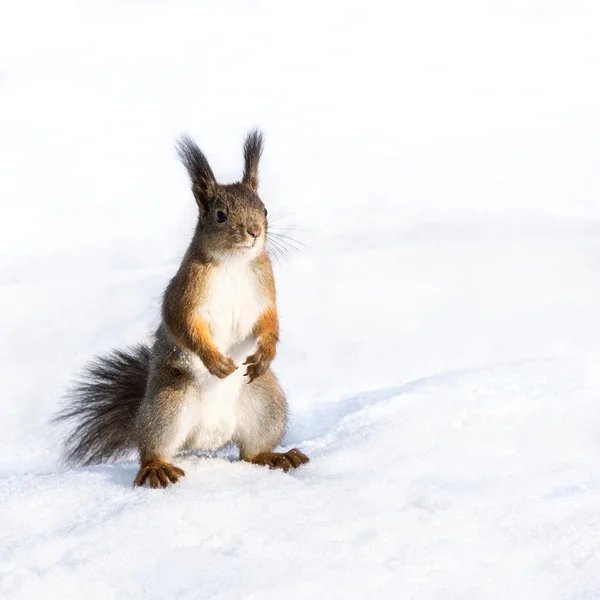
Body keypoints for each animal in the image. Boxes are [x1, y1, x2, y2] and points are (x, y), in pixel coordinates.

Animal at [54, 131, 310, 488]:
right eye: (220, 215)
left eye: (265, 209)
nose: (254, 232)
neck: (233, 263)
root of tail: (206, 440)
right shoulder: (184, 293)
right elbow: (183, 324)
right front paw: (215, 361)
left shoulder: (265, 289)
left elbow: (269, 321)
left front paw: (266, 354)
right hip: (167, 405)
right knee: (152, 447)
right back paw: (157, 468)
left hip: (265, 403)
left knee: (251, 453)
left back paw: (275, 456)